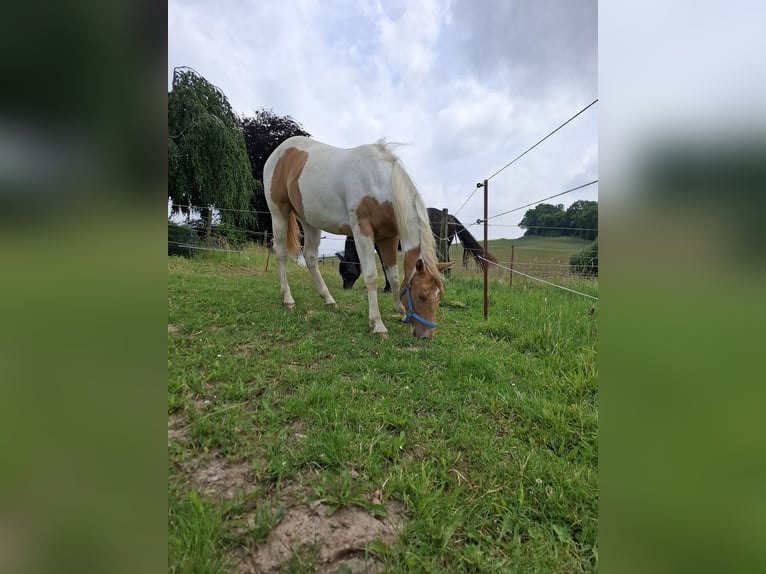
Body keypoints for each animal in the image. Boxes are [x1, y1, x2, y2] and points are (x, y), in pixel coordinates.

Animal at [266, 137, 456, 340]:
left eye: (439, 296)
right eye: (421, 295)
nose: (426, 335)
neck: (380, 184)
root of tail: (280, 150)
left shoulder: (388, 237)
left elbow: (394, 277)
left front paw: (401, 311)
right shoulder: (362, 232)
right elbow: (371, 276)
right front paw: (378, 324)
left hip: (309, 221)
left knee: (310, 258)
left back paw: (329, 299)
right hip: (279, 213)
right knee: (280, 254)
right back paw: (288, 299)